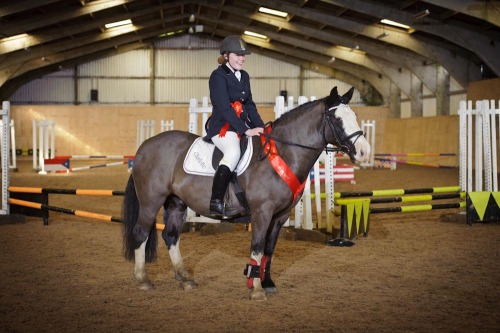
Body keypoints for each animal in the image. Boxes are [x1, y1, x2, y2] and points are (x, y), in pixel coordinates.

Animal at [122, 87, 370, 300]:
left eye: (355, 115)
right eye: (337, 119)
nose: (364, 152)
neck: (282, 153)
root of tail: (144, 147)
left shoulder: (279, 216)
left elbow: (269, 249)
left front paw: (267, 283)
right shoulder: (262, 213)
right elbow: (257, 247)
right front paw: (256, 289)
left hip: (176, 204)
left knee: (171, 236)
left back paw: (185, 279)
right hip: (151, 202)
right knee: (141, 234)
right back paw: (143, 280)